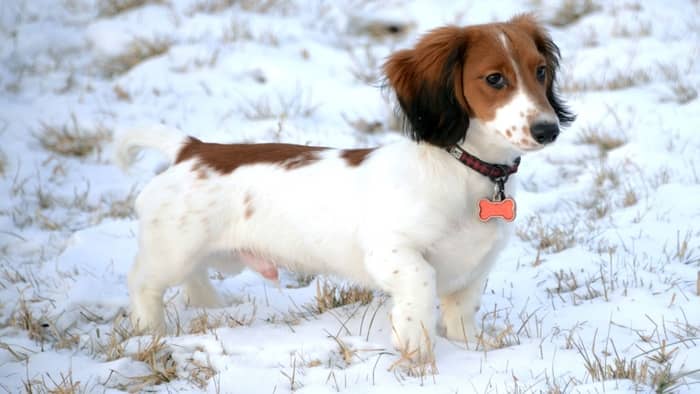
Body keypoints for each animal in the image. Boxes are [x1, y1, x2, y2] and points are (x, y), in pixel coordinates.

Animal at [116, 14, 576, 360]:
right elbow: (422, 282)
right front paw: (416, 348)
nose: (548, 129)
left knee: (194, 279)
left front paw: (473, 349)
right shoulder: (391, 250)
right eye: (495, 79)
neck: (463, 170)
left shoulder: (472, 269)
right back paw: (150, 331)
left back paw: (210, 308)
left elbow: (462, 315)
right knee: (143, 282)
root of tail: (191, 149)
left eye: (540, 71)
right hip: (174, 249)